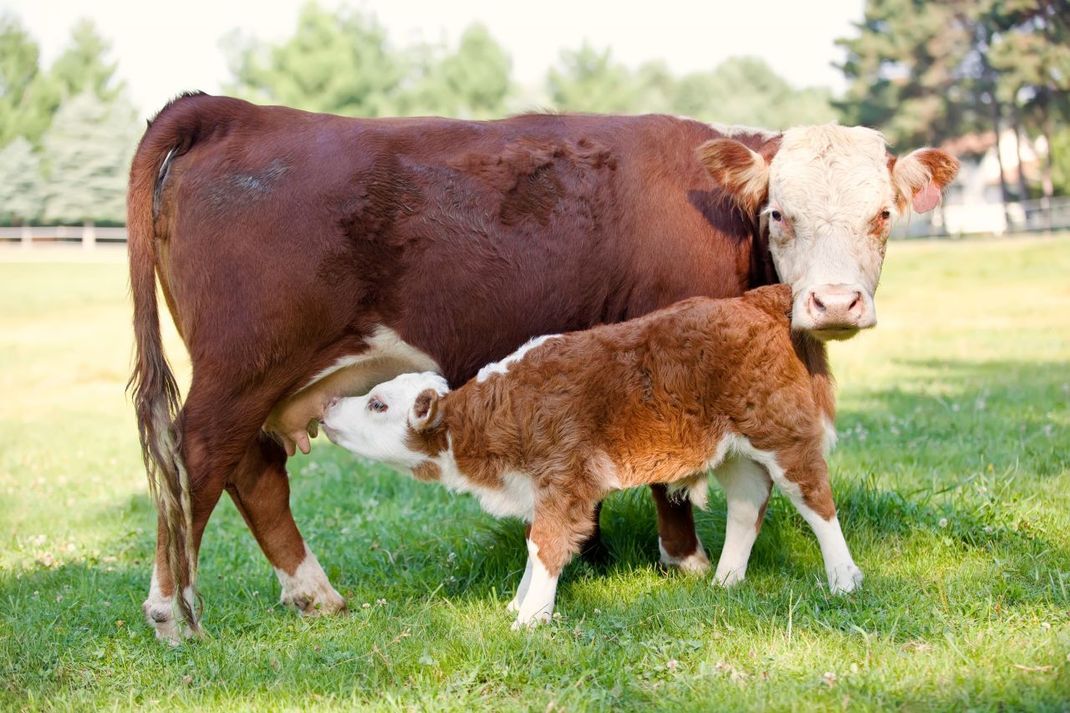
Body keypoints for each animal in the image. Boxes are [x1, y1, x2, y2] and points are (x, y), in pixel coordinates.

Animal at [316, 284, 851, 629]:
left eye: (378, 404)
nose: (327, 405)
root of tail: (756, 299)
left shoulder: (563, 481)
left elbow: (545, 545)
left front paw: (530, 620)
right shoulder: (538, 489)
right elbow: (533, 545)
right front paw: (518, 605)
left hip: (781, 431)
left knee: (815, 499)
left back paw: (844, 581)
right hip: (731, 449)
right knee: (748, 502)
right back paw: (725, 581)